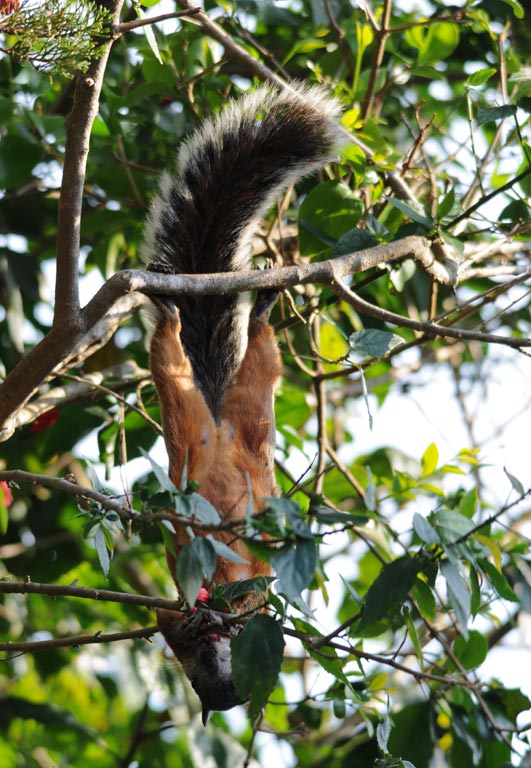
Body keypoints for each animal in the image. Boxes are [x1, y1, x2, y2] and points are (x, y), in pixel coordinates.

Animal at [140, 81, 340, 724]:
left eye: (217, 679)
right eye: (200, 673)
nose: (217, 683)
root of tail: (220, 425)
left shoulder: (249, 605)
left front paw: (203, 613)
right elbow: (175, 611)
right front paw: (194, 616)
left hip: (239, 418)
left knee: (235, 365)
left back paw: (250, 311)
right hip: (216, 424)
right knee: (195, 363)